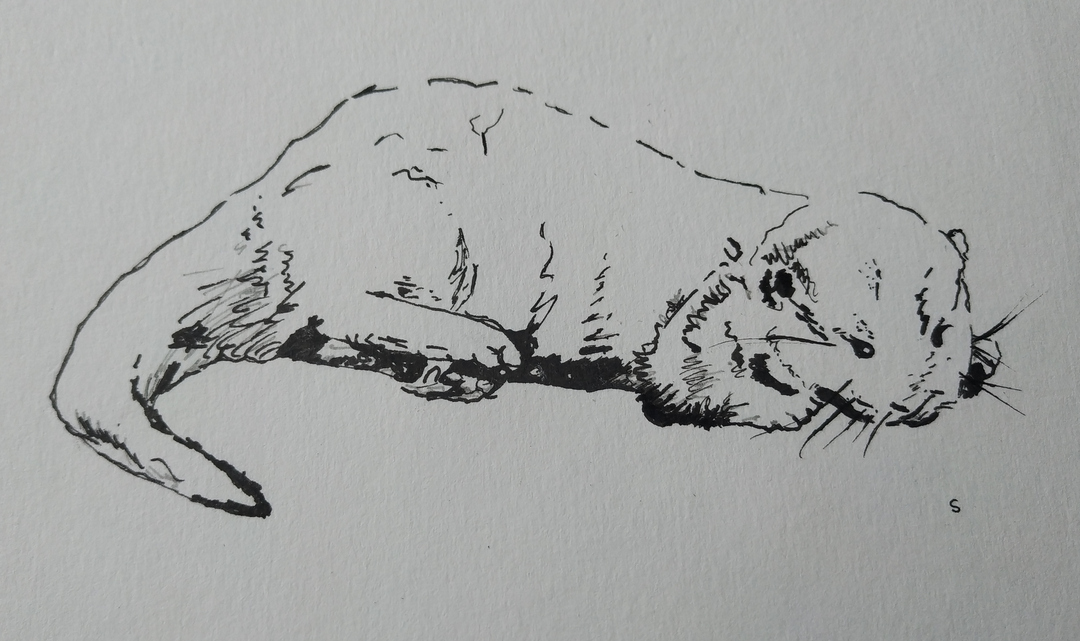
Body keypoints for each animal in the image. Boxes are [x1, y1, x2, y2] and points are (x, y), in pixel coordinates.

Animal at [50, 77, 1003, 517]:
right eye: (858, 342)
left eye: (939, 327)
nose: (919, 398)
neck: (730, 251)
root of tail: (269, 192)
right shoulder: (686, 333)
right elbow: (693, 386)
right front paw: (793, 405)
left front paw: (984, 364)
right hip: (419, 217)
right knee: (333, 297)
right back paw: (482, 345)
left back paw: (449, 370)